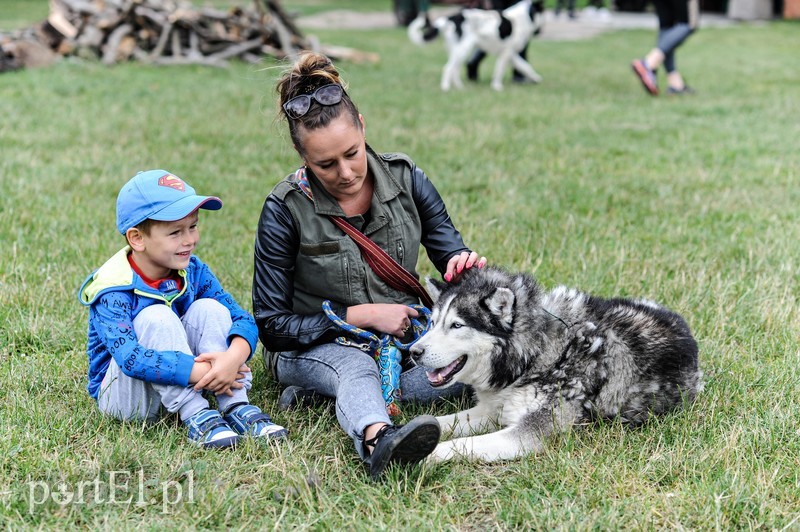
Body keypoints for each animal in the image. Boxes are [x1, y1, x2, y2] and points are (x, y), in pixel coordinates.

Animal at [406, 0, 544, 91]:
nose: (540, 32)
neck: (523, 17)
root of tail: (450, 18)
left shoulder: (511, 54)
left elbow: (525, 66)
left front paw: (536, 78)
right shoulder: (507, 52)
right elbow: (500, 69)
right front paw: (497, 86)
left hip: (457, 50)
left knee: (455, 69)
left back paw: (460, 87)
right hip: (463, 49)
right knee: (448, 68)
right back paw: (445, 87)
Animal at [410, 266, 704, 462]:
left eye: (456, 325)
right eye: (432, 323)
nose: (413, 351)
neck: (536, 354)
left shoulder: (531, 432)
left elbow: (464, 443)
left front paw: (422, 455)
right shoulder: (492, 410)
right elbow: (443, 423)